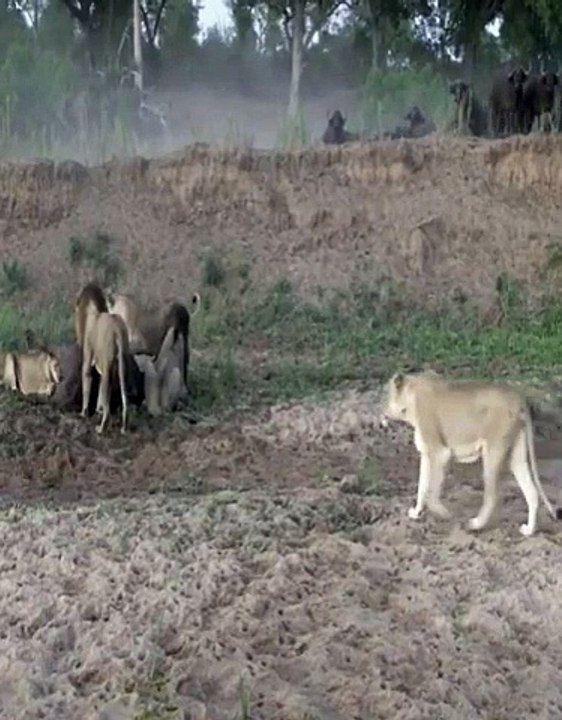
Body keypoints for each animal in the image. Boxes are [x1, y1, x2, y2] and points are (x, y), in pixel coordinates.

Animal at [74, 282, 129, 434]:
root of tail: (116, 330)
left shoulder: (88, 357)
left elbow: (87, 379)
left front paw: (83, 413)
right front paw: (97, 410)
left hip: (107, 362)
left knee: (107, 395)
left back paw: (101, 427)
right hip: (121, 363)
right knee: (122, 392)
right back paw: (123, 426)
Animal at [379, 370, 561, 537]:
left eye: (386, 395)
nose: (381, 413)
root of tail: (518, 399)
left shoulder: (440, 453)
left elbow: (431, 494)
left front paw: (445, 514)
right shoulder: (426, 454)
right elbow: (421, 487)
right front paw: (416, 513)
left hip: (493, 451)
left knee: (493, 496)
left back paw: (475, 524)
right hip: (517, 454)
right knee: (532, 492)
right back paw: (529, 530)